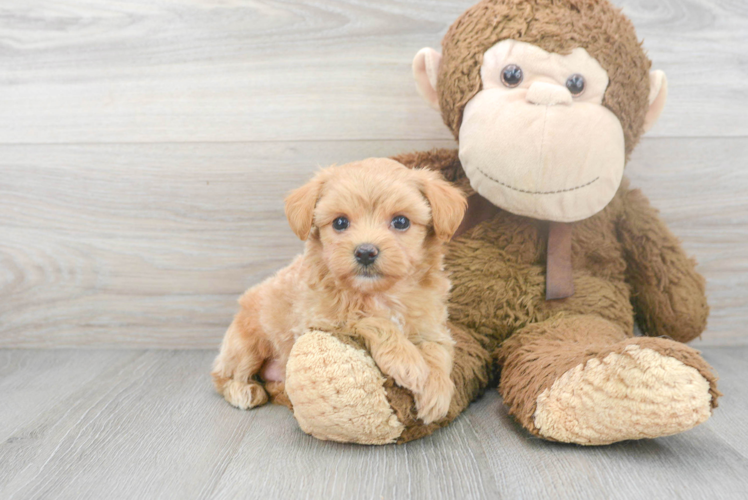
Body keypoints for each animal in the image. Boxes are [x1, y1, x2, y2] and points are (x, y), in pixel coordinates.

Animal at [212, 158, 468, 424]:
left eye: (401, 222)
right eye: (340, 222)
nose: (365, 252)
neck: (380, 293)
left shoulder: (432, 325)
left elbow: (438, 349)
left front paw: (436, 391)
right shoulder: (322, 320)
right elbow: (370, 320)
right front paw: (407, 362)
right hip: (247, 345)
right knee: (223, 376)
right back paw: (243, 391)